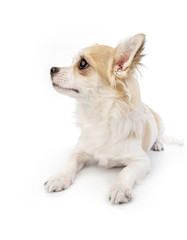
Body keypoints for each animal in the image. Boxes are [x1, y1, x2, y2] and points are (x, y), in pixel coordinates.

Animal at [44, 33, 166, 204]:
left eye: (82, 64)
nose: (52, 69)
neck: (99, 115)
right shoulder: (79, 152)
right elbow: (69, 163)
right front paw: (59, 178)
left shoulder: (141, 161)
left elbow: (125, 172)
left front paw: (120, 188)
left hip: (161, 122)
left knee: (160, 136)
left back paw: (158, 144)